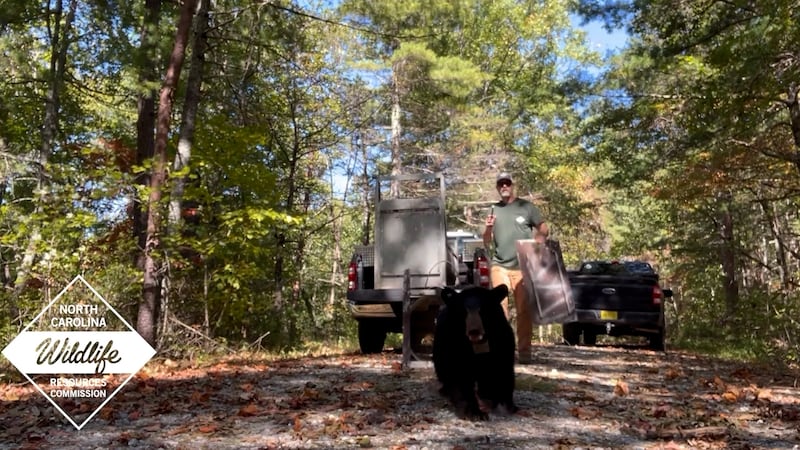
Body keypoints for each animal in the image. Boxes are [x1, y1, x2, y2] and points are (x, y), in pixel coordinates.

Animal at [432, 284, 518, 420]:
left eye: (482, 309)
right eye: (463, 310)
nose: (474, 330)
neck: (478, 344)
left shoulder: (501, 341)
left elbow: (502, 371)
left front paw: (505, 405)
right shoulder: (453, 343)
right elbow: (459, 375)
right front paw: (475, 412)